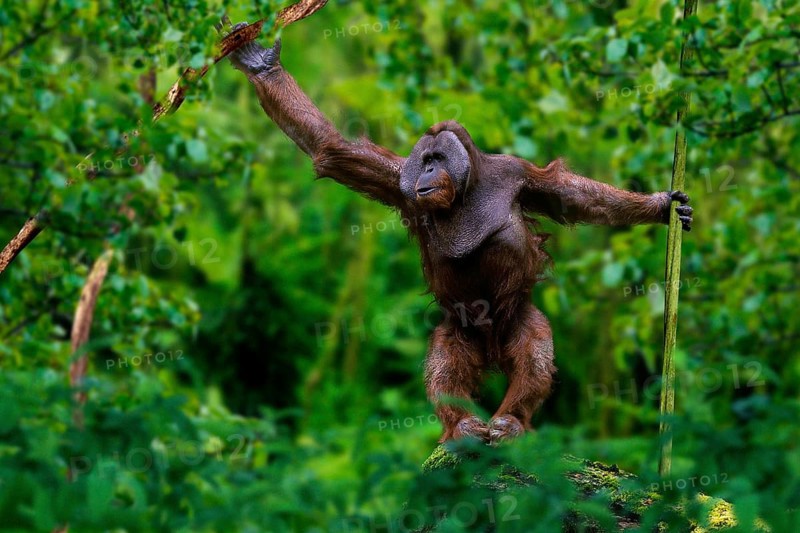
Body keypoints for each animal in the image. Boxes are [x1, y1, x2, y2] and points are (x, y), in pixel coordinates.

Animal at [229, 32, 693, 443]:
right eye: (424, 161)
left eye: (438, 158)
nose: (430, 170)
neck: (462, 195)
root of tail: (491, 349)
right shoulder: (398, 180)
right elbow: (333, 151)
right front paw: (260, 64)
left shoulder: (517, 173)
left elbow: (569, 195)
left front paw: (660, 207)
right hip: (457, 329)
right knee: (445, 369)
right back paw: (463, 428)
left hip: (519, 317)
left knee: (533, 358)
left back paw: (510, 424)